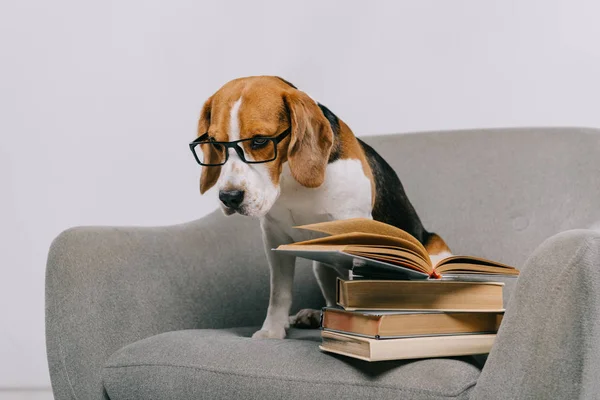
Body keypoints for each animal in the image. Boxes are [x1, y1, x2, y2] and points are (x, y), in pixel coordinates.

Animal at [193, 76, 450, 340]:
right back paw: (315, 316)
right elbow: (279, 292)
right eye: (215, 143)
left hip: (436, 253)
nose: (229, 197)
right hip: (320, 264)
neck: (291, 180)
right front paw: (272, 330)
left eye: (260, 140)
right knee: (332, 301)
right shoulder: (274, 237)